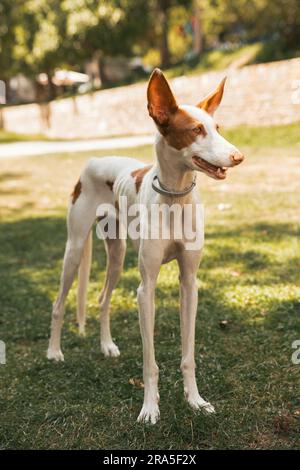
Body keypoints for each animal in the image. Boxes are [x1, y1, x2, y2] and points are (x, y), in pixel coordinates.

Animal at [47, 69, 244, 422]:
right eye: (196, 130)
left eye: (218, 128)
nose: (238, 156)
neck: (175, 196)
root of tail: (94, 159)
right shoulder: (146, 288)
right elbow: (150, 361)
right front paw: (150, 407)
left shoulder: (189, 283)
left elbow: (188, 354)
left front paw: (195, 400)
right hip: (75, 248)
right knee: (58, 303)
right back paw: (54, 351)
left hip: (117, 254)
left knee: (102, 299)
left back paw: (106, 346)